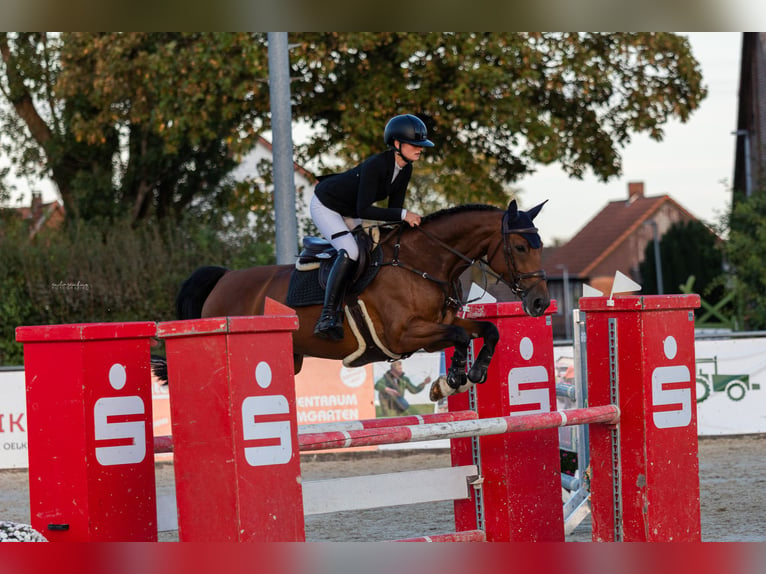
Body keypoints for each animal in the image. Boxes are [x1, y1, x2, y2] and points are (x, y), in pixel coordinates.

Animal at [171, 200, 548, 402]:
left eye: (540, 246)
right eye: (519, 247)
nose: (540, 303)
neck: (422, 263)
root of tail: (223, 279)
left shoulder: (435, 328)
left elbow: (485, 331)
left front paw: (470, 375)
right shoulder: (403, 336)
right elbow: (460, 336)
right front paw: (451, 380)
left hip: (290, 358)